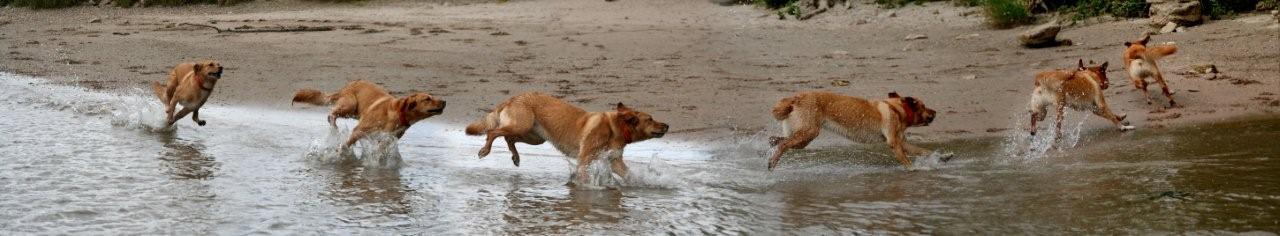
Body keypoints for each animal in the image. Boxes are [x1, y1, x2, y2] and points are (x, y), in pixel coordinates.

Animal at [293, 79, 448, 151]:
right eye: (427, 99)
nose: (445, 101)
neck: (398, 114)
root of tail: (348, 85)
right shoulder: (359, 130)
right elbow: (346, 145)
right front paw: (340, 153)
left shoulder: (387, 139)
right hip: (350, 105)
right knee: (331, 115)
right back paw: (334, 128)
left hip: (354, 111)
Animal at [468, 92, 670, 184]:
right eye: (650, 119)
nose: (667, 125)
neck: (616, 128)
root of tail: (513, 97)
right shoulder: (586, 158)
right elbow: (583, 176)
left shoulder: (614, 161)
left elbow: (629, 175)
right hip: (522, 126)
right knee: (493, 132)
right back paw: (485, 150)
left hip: (534, 137)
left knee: (509, 138)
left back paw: (515, 157)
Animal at [762, 90, 947, 169]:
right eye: (924, 106)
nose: (936, 112)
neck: (896, 109)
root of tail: (797, 97)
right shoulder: (894, 143)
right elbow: (908, 162)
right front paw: (915, 169)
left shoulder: (903, 143)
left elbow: (924, 151)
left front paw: (944, 157)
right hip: (808, 132)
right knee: (783, 144)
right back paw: (772, 162)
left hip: (803, 137)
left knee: (776, 140)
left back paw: (770, 150)